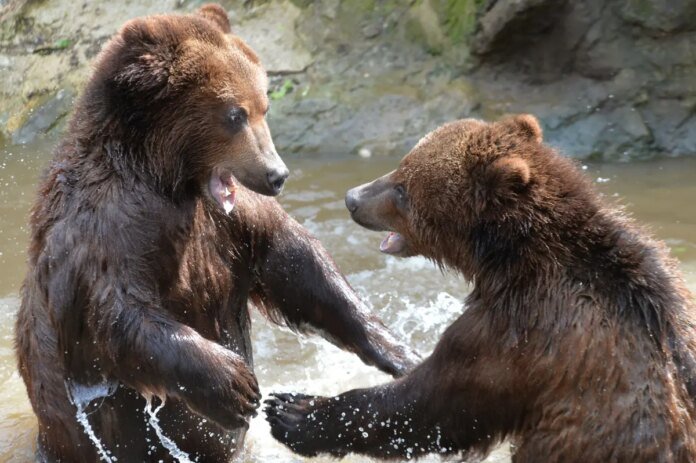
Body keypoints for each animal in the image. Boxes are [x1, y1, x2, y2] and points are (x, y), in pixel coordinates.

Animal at [14, 5, 419, 462]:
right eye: (234, 114)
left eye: (263, 106)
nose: (277, 174)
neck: (168, 179)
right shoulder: (106, 227)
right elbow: (114, 315)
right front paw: (234, 384)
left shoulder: (228, 222)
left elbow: (297, 265)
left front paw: (400, 350)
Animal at [265, 115, 696, 462]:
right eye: (401, 164)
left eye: (403, 187)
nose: (352, 198)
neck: (510, 257)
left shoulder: (519, 333)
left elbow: (434, 403)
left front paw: (292, 410)